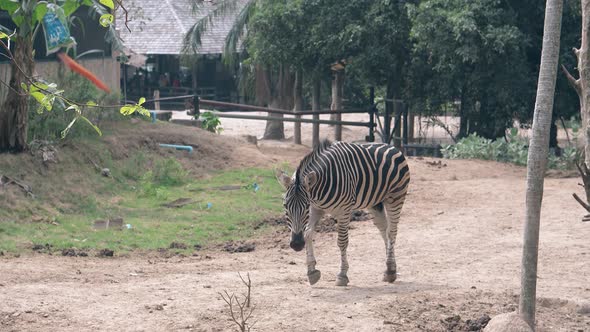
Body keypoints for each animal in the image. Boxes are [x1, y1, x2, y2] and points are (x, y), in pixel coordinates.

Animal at [278, 139, 412, 286]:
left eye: (306, 206)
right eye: (285, 206)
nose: (296, 244)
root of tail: (390, 145)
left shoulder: (344, 211)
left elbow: (342, 241)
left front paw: (342, 275)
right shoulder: (316, 209)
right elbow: (308, 234)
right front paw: (312, 272)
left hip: (396, 197)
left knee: (391, 232)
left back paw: (390, 270)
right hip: (374, 203)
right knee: (384, 230)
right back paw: (390, 270)